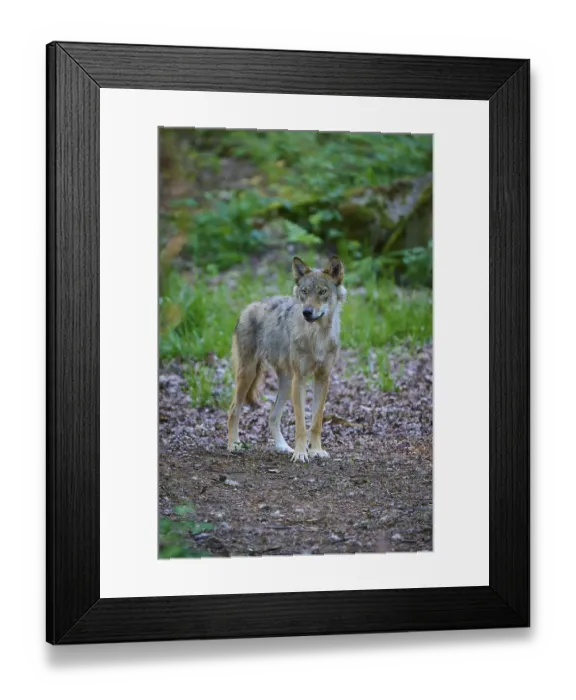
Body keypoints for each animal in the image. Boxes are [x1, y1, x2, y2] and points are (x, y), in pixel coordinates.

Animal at [227, 256, 346, 463]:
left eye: (322, 292)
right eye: (304, 292)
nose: (307, 312)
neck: (317, 336)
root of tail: (247, 308)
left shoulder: (322, 378)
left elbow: (316, 422)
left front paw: (316, 451)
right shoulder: (300, 379)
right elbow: (301, 425)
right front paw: (300, 454)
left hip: (285, 384)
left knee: (272, 416)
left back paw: (282, 447)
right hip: (249, 375)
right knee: (233, 410)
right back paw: (234, 445)